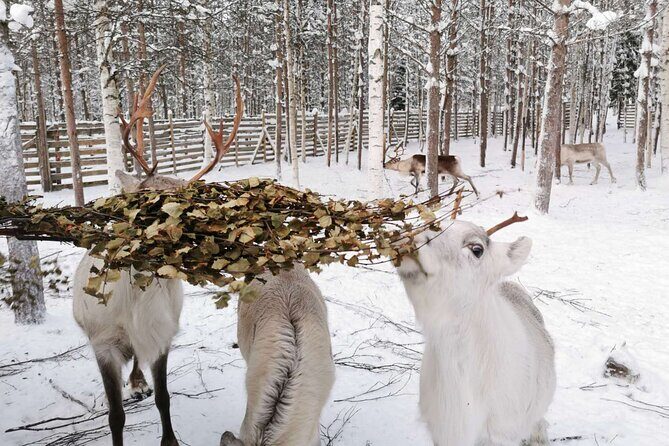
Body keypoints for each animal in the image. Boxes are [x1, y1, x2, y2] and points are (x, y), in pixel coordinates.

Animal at [72, 67, 243, 446]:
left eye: (187, 206)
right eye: (140, 198)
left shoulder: (163, 335)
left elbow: (164, 397)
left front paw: (170, 439)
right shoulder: (103, 345)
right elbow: (115, 415)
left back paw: (138, 383)